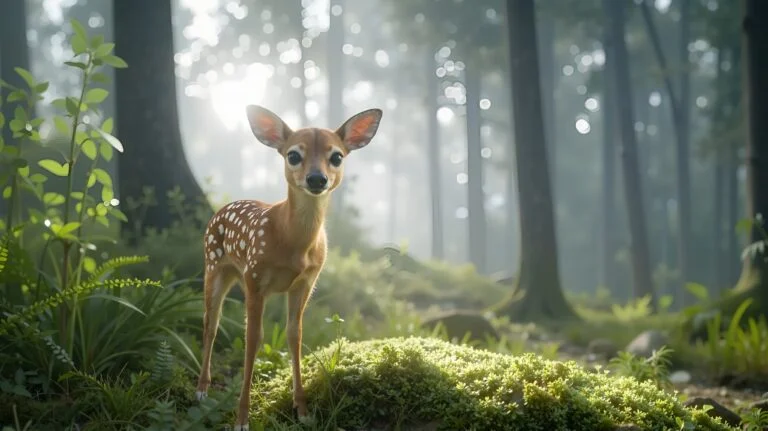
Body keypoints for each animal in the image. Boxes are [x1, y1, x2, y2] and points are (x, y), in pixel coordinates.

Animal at [194, 104, 383, 430]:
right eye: (293, 155)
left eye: (337, 156)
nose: (317, 178)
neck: (291, 240)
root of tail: (222, 208)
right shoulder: (256, 278)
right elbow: (253, 339)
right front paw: (242, 418)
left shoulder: (305, 282)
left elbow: (295, 336)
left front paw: (303, 410)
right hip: (215, 265)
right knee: (211, 324)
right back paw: (202, 390)